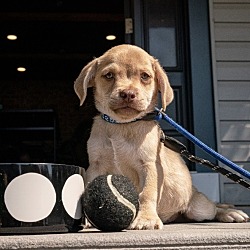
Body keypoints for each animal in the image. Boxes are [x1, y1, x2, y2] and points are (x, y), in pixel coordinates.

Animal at [73, 44, 248, 229]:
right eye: (109, 75)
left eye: (145, 76)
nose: (128, 94)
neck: (123, 125)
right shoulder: (96, 165)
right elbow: (87, 189)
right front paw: (87, 219)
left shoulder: (150, 165)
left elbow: (147, 193)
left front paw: (146, 218)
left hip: (200, 209)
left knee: (213, 208)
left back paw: (230, 212)